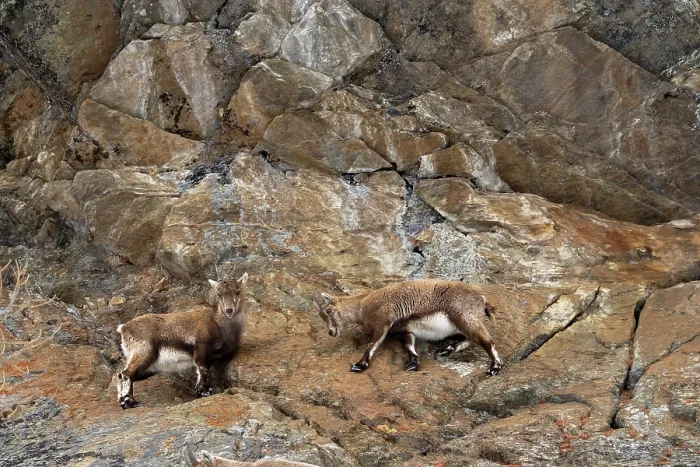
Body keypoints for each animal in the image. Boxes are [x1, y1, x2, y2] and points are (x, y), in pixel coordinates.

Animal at [116, 273, 248, 409]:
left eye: (238, 292)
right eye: (219, 294)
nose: (229, 310)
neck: (218, 323)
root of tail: (124, 328)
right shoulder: (201, 348)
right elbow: (203, 370)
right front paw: (204, 392)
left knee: (121, 375)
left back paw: (123, 402)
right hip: (144, 353)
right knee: (126, 373)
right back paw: (131, 402)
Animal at [313, 279, 501, 375]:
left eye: (328, 310)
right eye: (321, 315)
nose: (331, 332)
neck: (362, 305)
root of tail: (482, 300)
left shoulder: (382, 322)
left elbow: (372, 345)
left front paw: (360, 365)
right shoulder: (405, 329)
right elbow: (409, 345)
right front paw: (413, 363)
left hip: (464, 317)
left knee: (487, 341)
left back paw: (494, 367)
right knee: (471, 339)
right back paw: (448, 350)